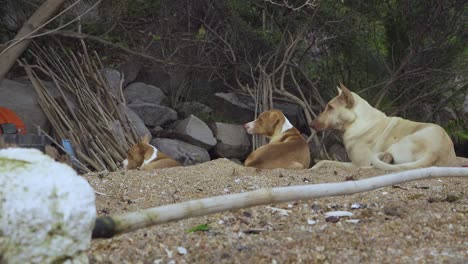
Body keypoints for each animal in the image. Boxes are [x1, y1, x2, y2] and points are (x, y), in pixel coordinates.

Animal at [308, 81, 456, 170]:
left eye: (330, 107)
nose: (311, 124)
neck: (358, 121)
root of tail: (435, 152)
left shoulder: (357, 164)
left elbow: (326, 161)